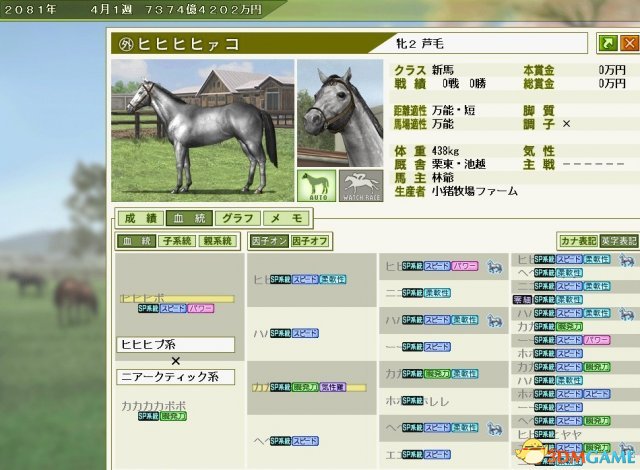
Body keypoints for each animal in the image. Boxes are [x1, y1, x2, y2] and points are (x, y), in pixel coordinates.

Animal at [126, 80, 277, 194]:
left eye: (140, 92)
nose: (128, 108)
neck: (176, 114)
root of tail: (257, 110)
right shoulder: (185, 146)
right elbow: (187, 165)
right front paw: (186, 187)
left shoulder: (178, 145)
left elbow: (179, 164)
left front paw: (176, 188)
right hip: (243, 142)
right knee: (253, 161)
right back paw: (246, 187)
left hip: (252, 142)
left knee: (261, 160)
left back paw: (259, 188)